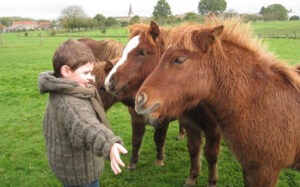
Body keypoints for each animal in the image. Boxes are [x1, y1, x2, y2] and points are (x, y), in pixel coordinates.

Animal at [104, 21, 221, 186]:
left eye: (142, 52)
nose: (109, 82)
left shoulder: (213, 129)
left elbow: (211, 155)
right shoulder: (139, 119)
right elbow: (137, 140)